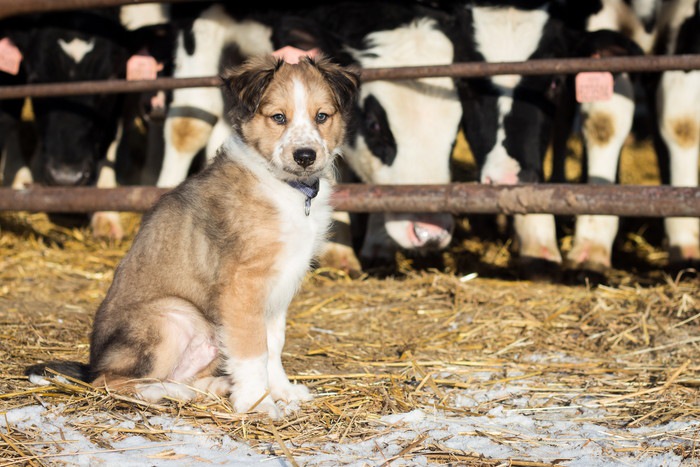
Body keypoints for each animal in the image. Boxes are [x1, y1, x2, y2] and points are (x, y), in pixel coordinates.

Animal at [24, 54, 358, 420]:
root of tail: (90, 364)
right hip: (172, 317)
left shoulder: (277, 287)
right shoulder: (243, 285)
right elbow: (253, 349)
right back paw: (168, 393)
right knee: (112, 382)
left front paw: (283, 392)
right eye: (278, 117)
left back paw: (213, 387)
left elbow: (273, 344)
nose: (305, 156)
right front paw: (257, 403)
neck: (286, 187)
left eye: (322, 116)